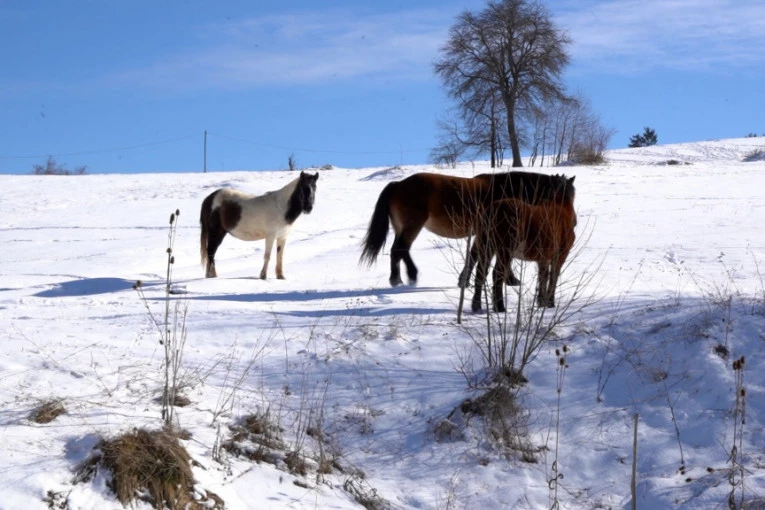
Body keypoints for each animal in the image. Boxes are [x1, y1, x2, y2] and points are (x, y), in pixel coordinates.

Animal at [360, 169, 572, 284]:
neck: (506, 190)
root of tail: (397, 184)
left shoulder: (482, 234)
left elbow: (473, 255)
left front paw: (464, 280)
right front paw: (511, 280)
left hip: (400, 227)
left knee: (395, 251)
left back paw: (396, 279)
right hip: (413, 226)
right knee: (401, 248)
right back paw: (411, 275)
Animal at [456, 175, 576, 310]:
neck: (560, 207)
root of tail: (493, 210)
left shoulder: (543, 259)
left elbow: (542, 278)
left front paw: (541, 302)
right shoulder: (560, 256)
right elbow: (553, 277)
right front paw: (550, 302)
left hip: (487, 248)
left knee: (481, 273)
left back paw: (477, 305)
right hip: (504, 252)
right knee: (497, 274)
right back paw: (500, 307)